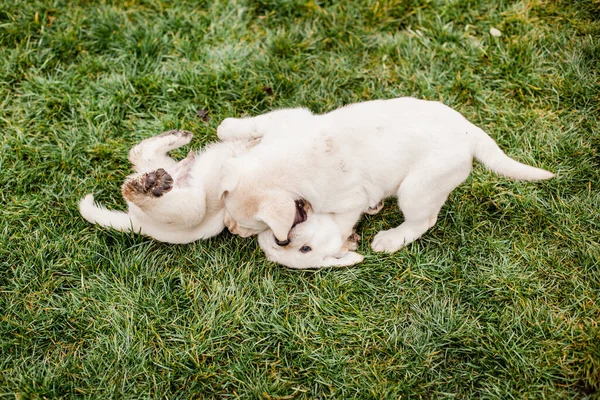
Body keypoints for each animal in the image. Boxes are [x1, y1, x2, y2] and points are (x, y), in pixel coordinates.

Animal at [79, 130, 258, 244]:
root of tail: (138, 224)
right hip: (183, 195)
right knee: (138, 152)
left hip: (188, 207)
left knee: (137, 158)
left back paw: (146, 184)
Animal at [216, 95, 552, 255]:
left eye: (252, 225)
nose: (231, 229)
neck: (286, 163)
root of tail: (472, 133)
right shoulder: (288, 118)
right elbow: (252, 123)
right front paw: (227, 126)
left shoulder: (347, 201)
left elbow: (339, 225)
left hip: (417, 189)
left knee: (423, 221)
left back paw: (391, 239)